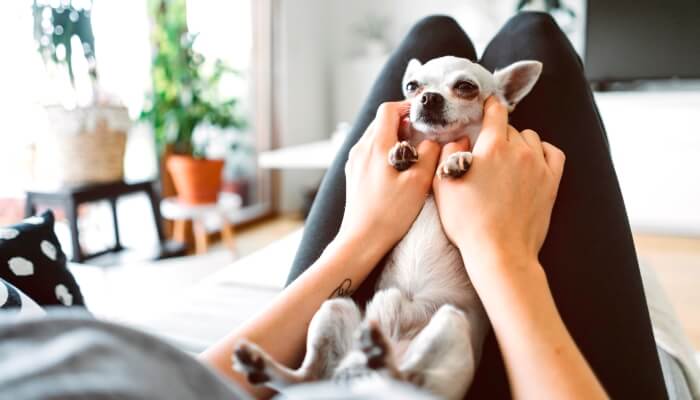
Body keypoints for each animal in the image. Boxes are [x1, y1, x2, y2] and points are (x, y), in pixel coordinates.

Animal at [231, 54, 540, 398]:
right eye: (412, 86)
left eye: (465, 87)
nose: (428, 97)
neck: (440, 142)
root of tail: (361, 379)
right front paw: (401, 151)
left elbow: (468, 149)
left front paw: (456, 158)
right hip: (334, 307)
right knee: (307, 377)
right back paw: (264, 366)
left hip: (449, 327)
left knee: (407, 377)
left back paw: (382, 359)